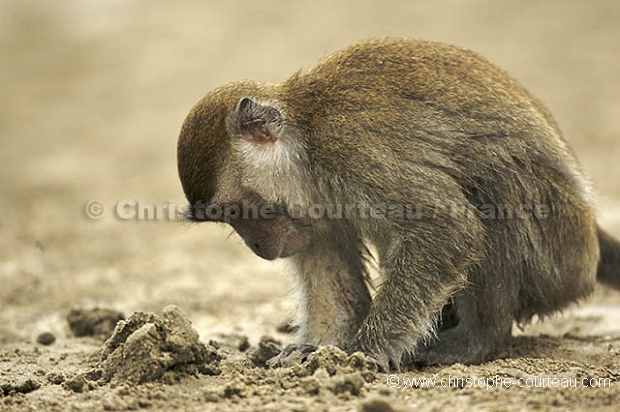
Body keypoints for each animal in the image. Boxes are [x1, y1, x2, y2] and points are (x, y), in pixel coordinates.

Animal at [174, 37, 620, 366]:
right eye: (226, 218)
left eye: (237, 211)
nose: (257, 246)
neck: (307, 138)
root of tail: (590, 243)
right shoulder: (307, 214)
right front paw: (317, 347)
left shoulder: (353, 149)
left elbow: (447, 229)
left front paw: (363, 354)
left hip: (560, 255)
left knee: (499, 186)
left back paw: (478, 339)